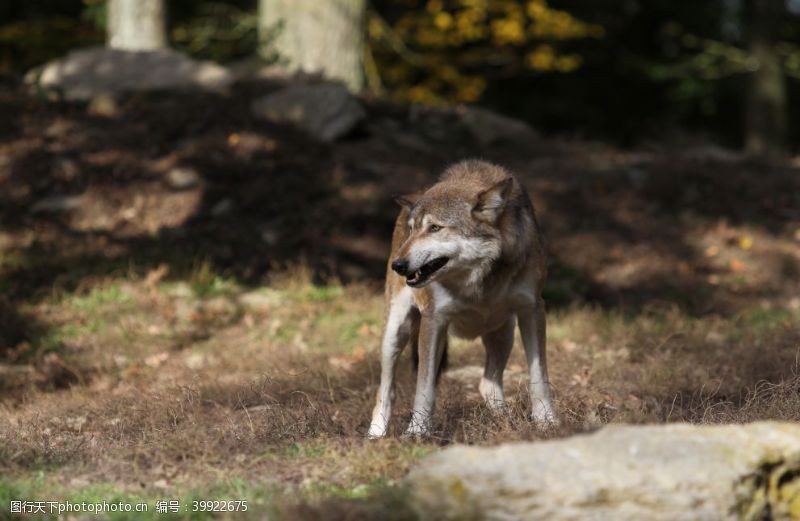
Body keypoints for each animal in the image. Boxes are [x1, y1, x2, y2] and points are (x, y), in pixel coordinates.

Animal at [368, 160, 556, 436]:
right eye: (412, 230)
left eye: (435, 228)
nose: (398, 266)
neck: (477, 280)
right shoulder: (434, 320)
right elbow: (424, 389)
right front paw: (417, 433)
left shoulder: (532, 310)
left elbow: (539, 378)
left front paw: (547, 423)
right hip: (395, 332)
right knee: (385, 391)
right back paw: (376, 436)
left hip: (504, 332)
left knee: (487, 385)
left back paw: (506, 423)